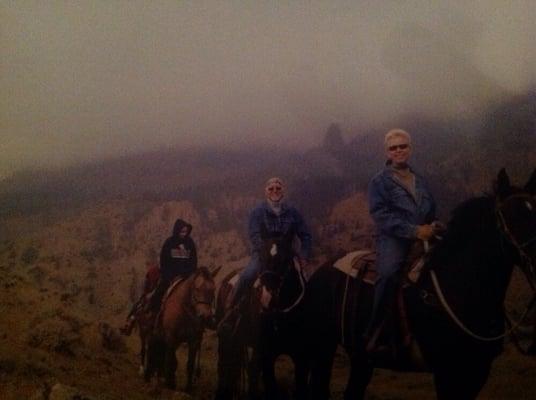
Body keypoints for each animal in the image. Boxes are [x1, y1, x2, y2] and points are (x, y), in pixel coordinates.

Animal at [214, 234, 330, 400]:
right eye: (261, 257)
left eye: (285, 258)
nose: (266, 294)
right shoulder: (266, 354)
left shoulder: (302, 359)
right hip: (227, 338)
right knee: (225, 366)